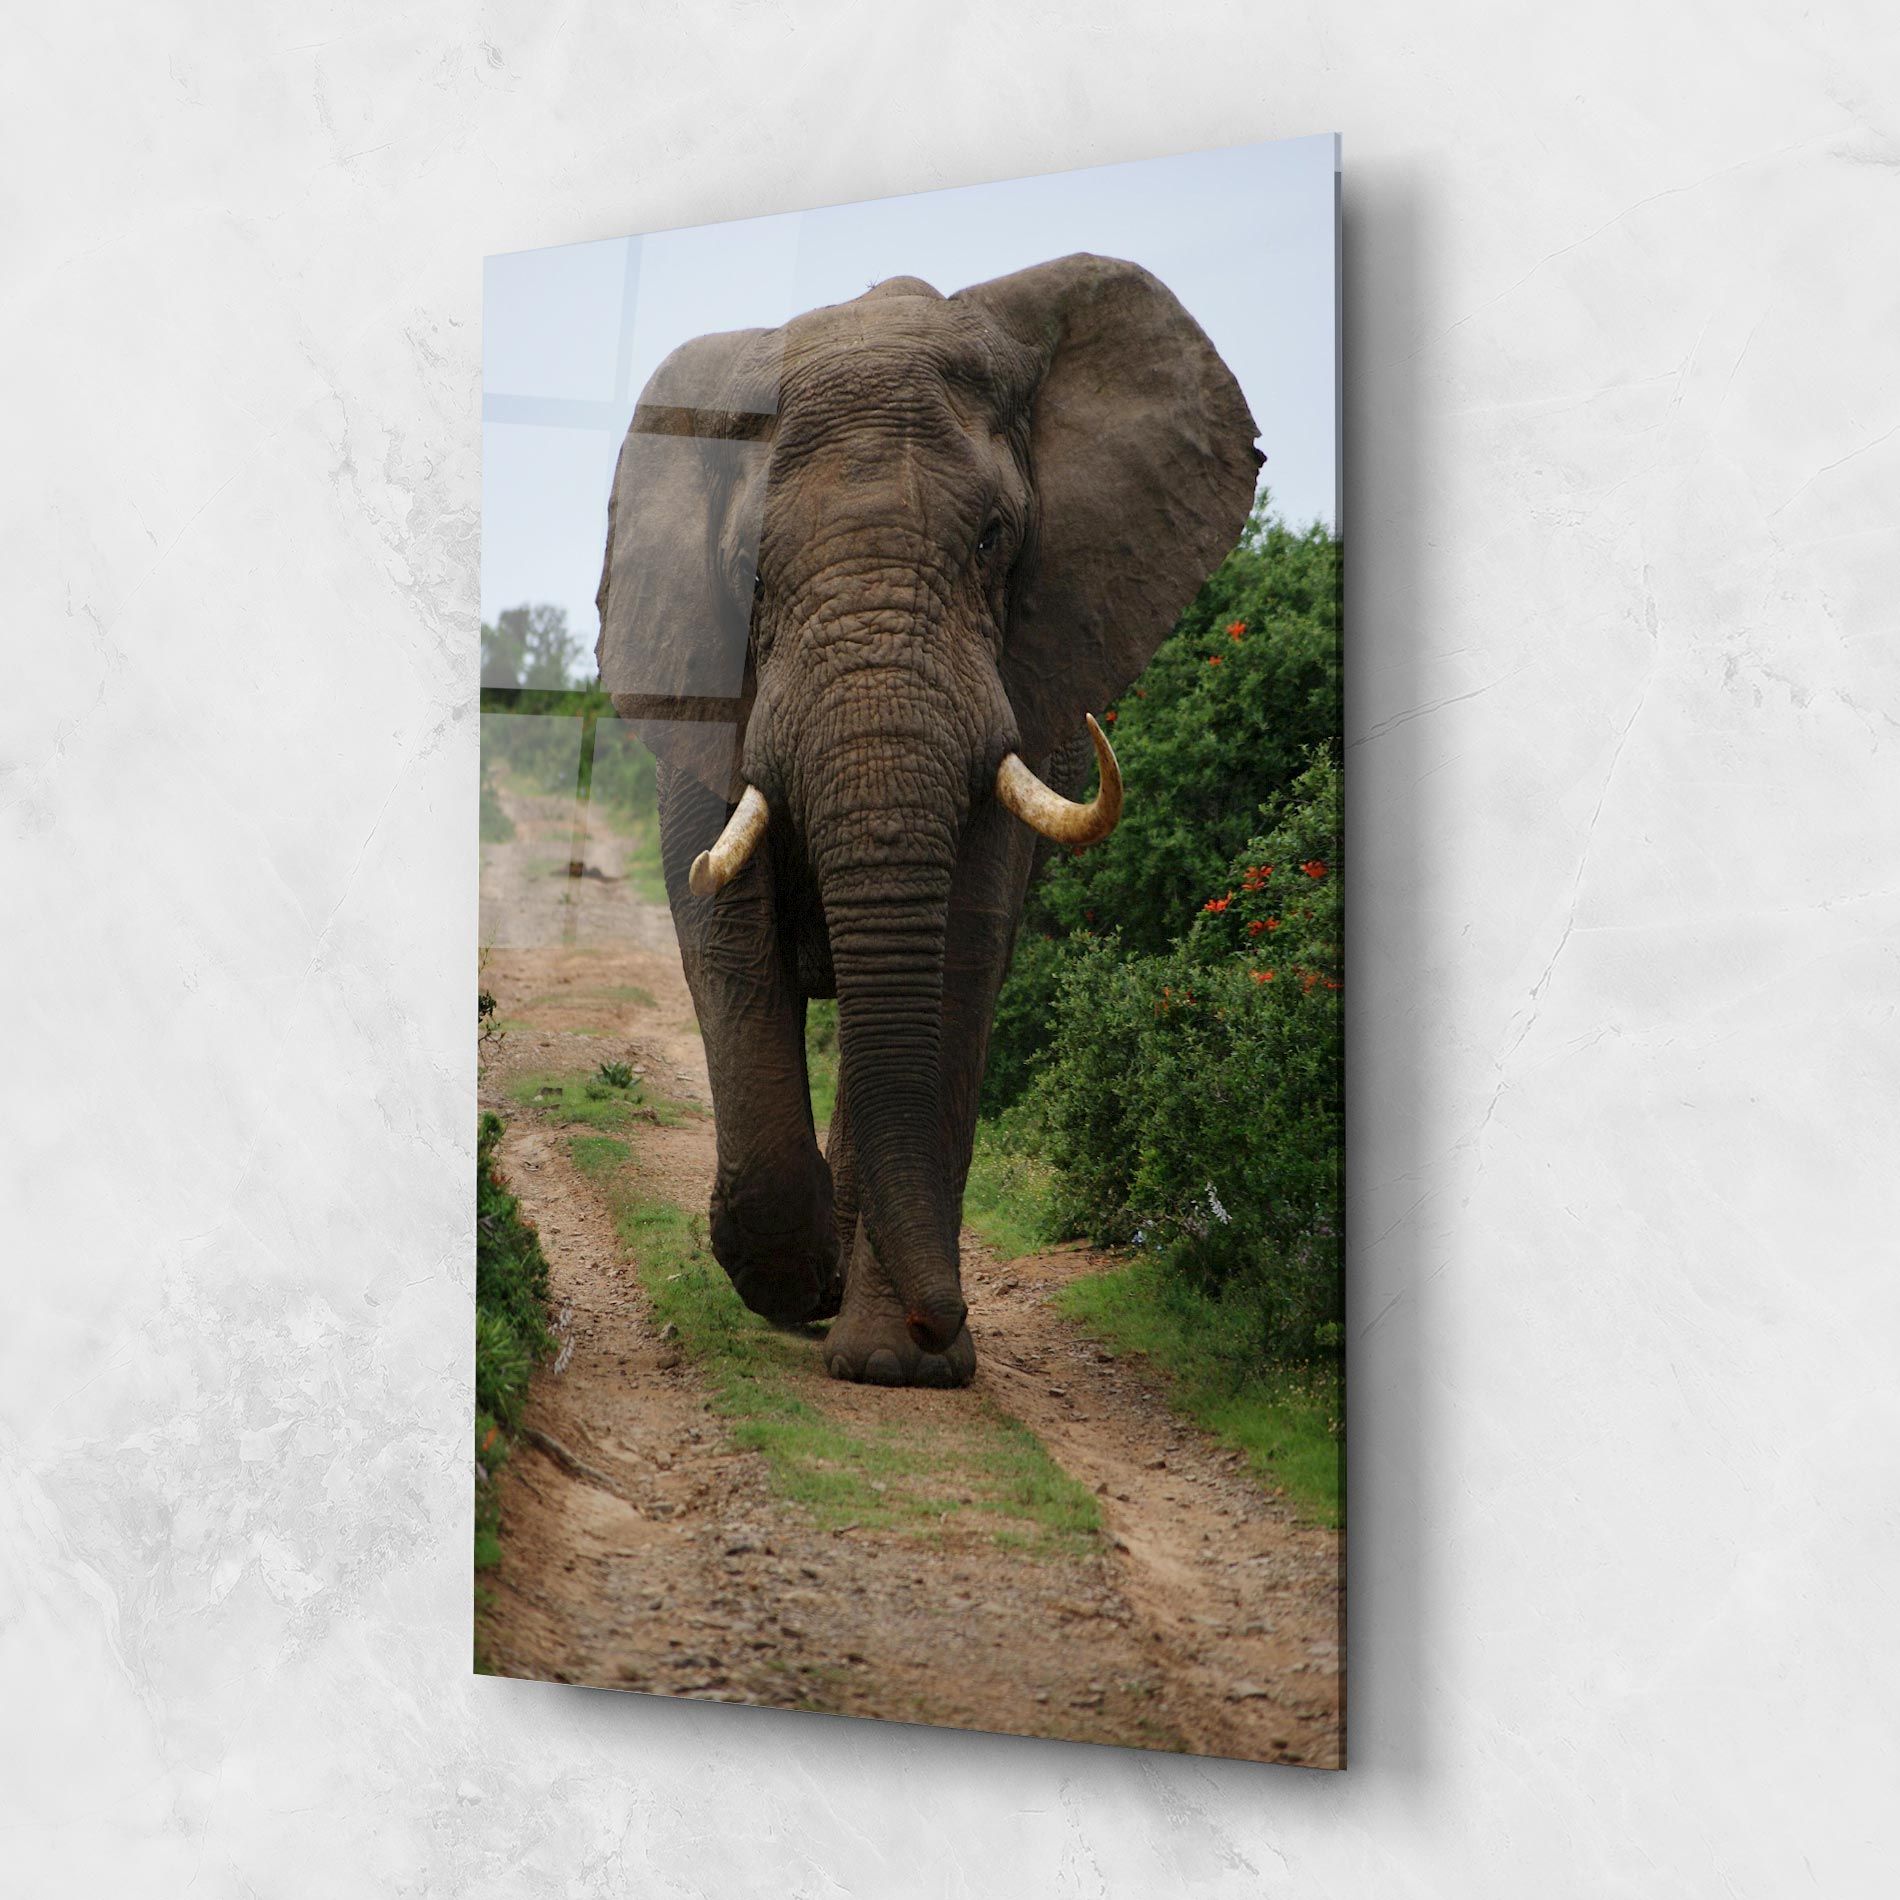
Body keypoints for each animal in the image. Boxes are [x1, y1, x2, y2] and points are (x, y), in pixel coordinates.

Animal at [594, 253, 1260, 1388]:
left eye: (994, 540)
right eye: (750, 576)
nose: (945, 1320)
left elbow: (957, 958)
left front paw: (898, 1366)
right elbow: (726, 943)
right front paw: (792, 1280)